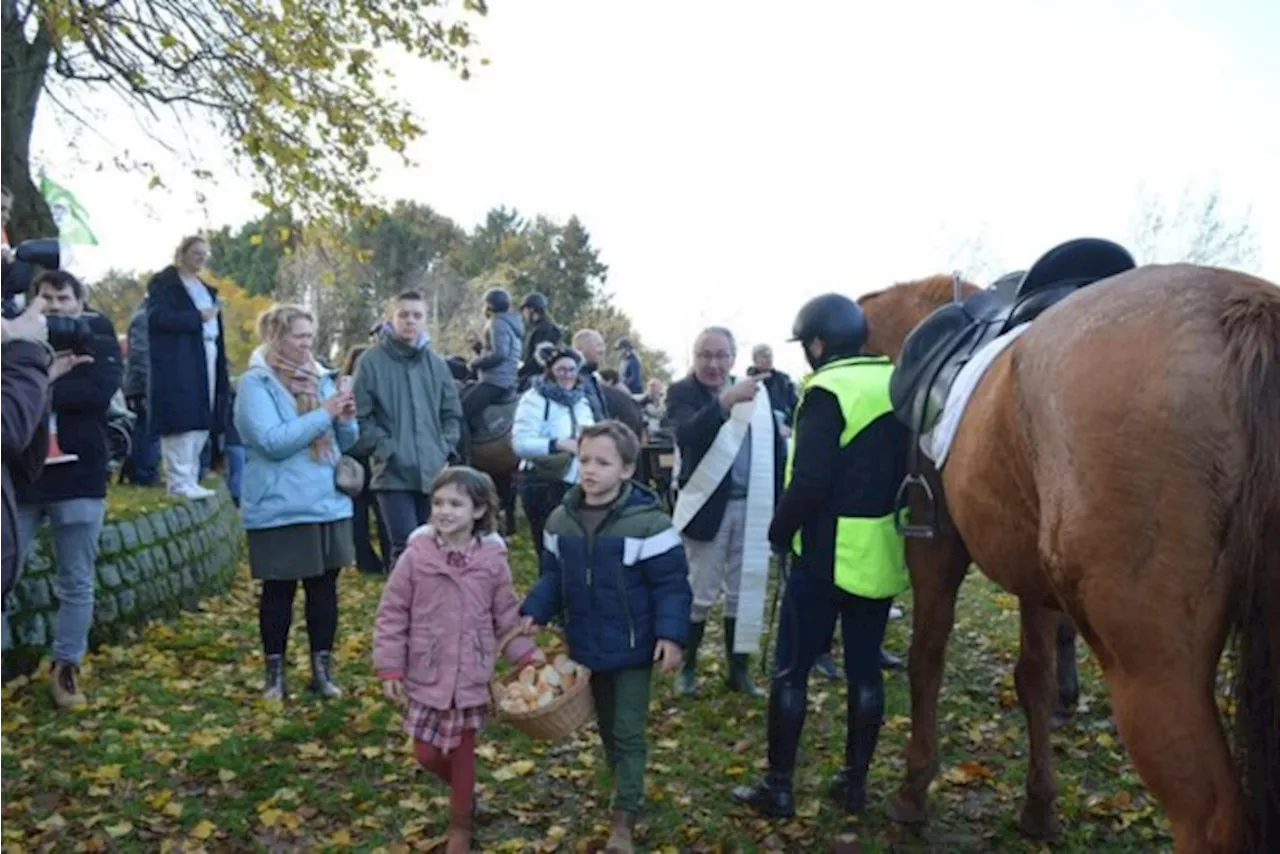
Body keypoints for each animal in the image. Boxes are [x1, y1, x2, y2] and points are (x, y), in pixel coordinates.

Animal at [860, 267, 1280, 854]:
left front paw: (913, 790)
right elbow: (1033, 679)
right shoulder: (1036, 580)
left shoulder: (934, 546)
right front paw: (1040, 806)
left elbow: (927, 659)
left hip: (1152, 671)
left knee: (1211, 822)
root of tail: (1243, 311)